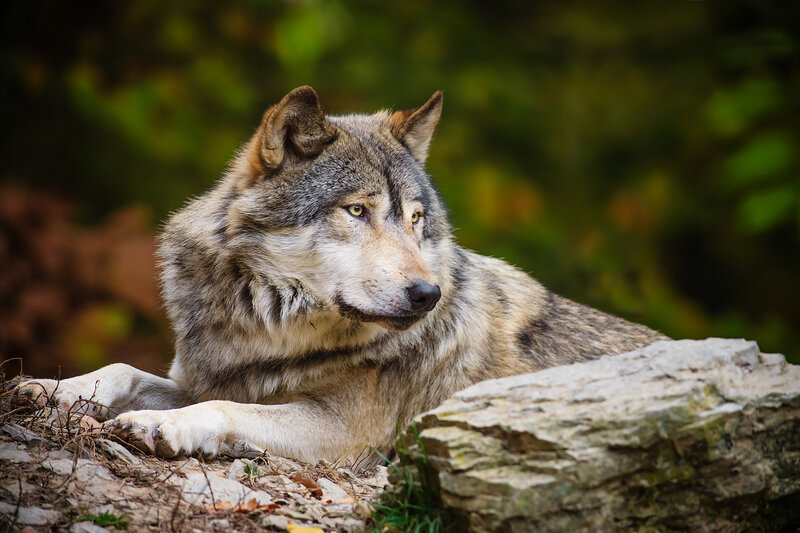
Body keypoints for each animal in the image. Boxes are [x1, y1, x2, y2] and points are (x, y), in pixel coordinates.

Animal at [17, 86, 665, 467]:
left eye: (416, 220)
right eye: (357, 211)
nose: (427, 294)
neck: (267, 330)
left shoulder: (345, 434)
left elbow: (224, 411)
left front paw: (160, 425)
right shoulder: (208, 376)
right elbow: (123, 369)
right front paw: (52, 388)